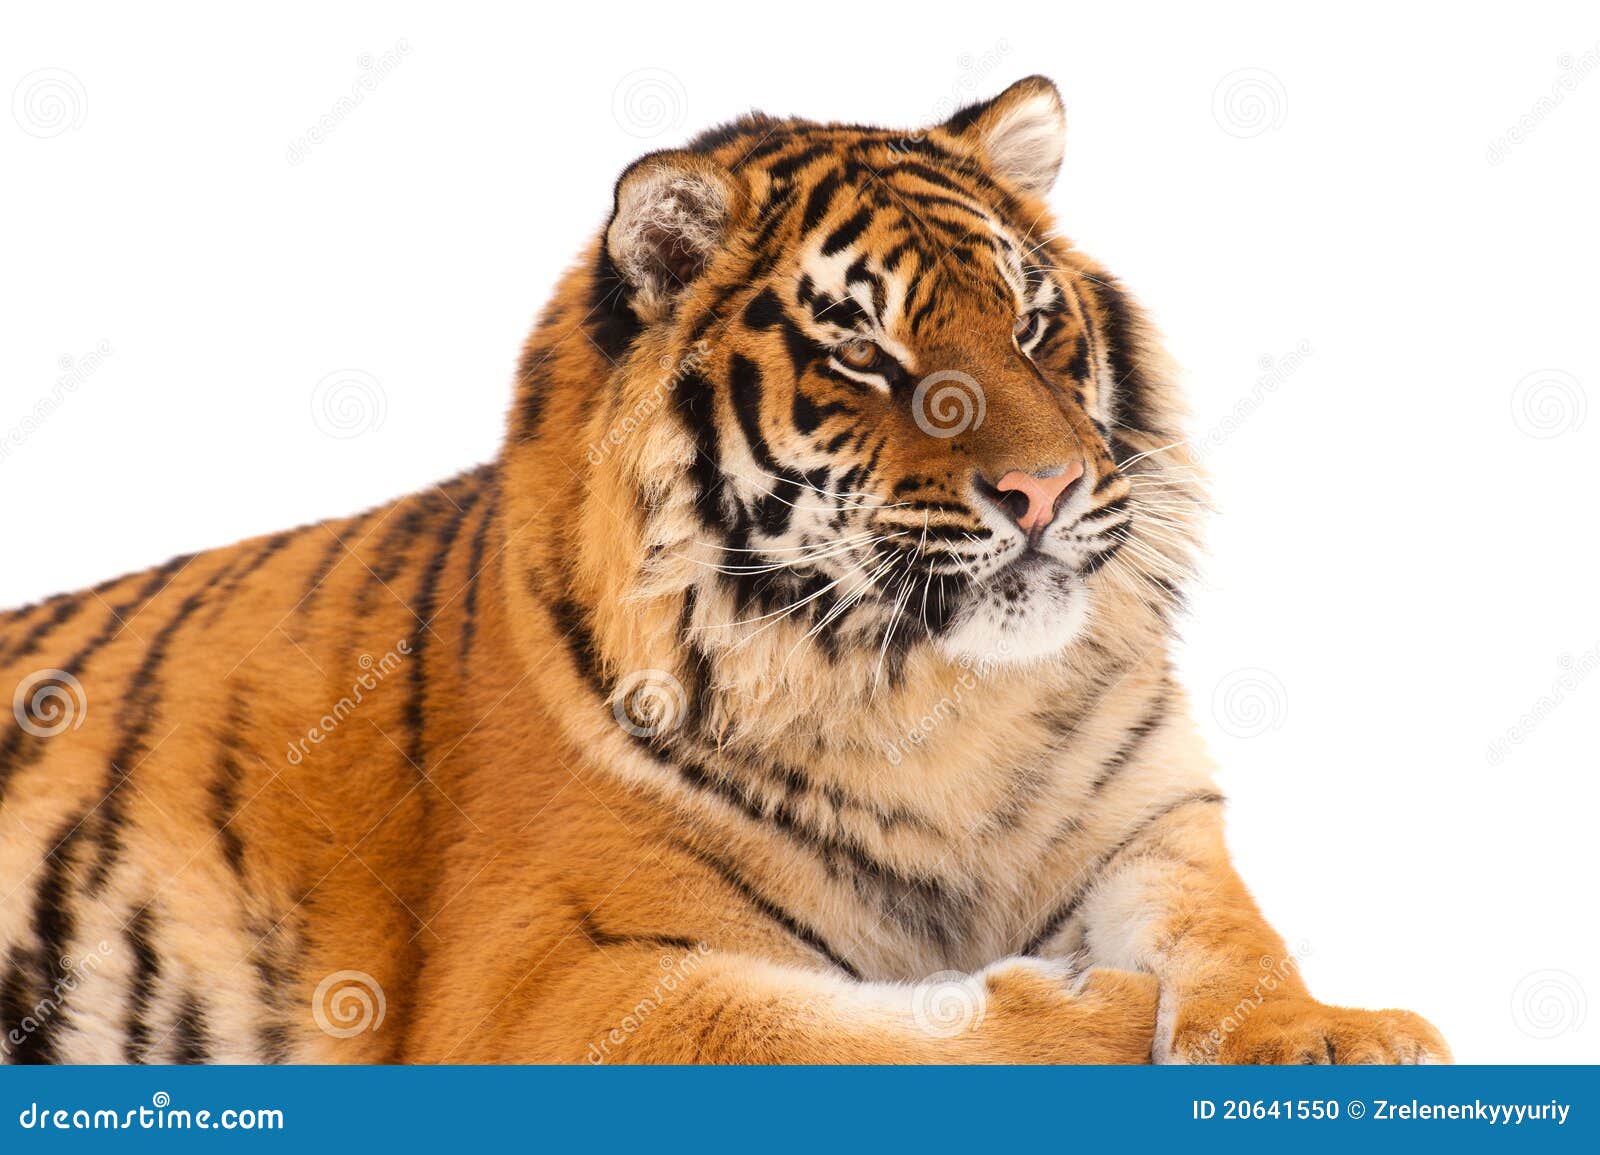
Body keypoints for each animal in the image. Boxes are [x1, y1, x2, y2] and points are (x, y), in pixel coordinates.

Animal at [0, 76, 1448, 1065]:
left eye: (1035, 325)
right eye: (864, 352)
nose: (1046, 491)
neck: (945, 702)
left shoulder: (1153, 817)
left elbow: (1234, 936)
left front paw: (1323, 1036)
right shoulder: (555, 978)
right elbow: (844, 1038)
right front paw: (1088, 1014)